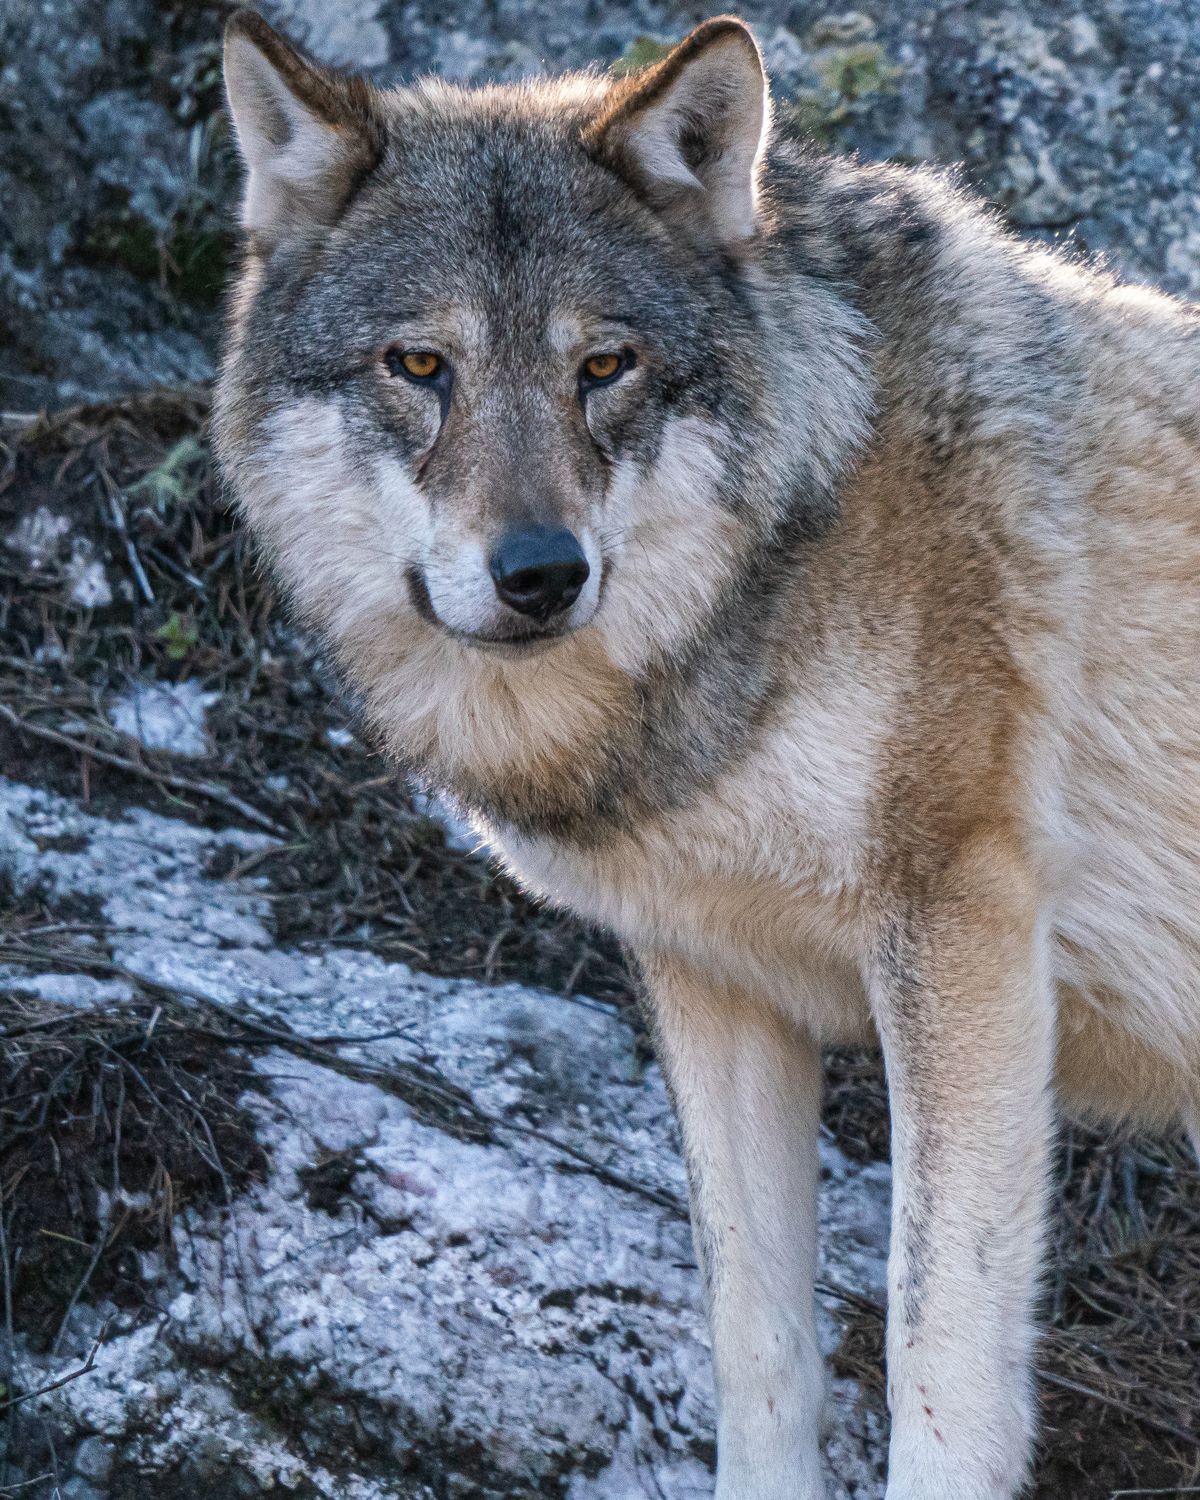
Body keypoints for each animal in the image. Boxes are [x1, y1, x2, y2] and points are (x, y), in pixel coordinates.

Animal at [215, 10, 1200, 1497]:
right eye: (420, 366)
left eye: (603, 367)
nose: (539, 574)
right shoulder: (716, 979)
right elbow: (756, 1342)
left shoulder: (962, 937)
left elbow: (936, 1353)